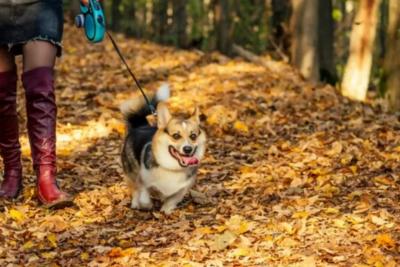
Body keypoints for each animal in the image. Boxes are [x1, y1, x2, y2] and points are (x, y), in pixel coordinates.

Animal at [119, 85, 206, 215]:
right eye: (176, 136)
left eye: (193, 136)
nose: (187, 149)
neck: (172, 168)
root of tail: (140, 125)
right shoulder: (142, 181)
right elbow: (144, 196)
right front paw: (147, 205)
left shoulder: (183, 188)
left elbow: (173, 199)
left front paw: (167, 209)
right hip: (131, 171)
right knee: (134, 189)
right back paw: (135, 203)